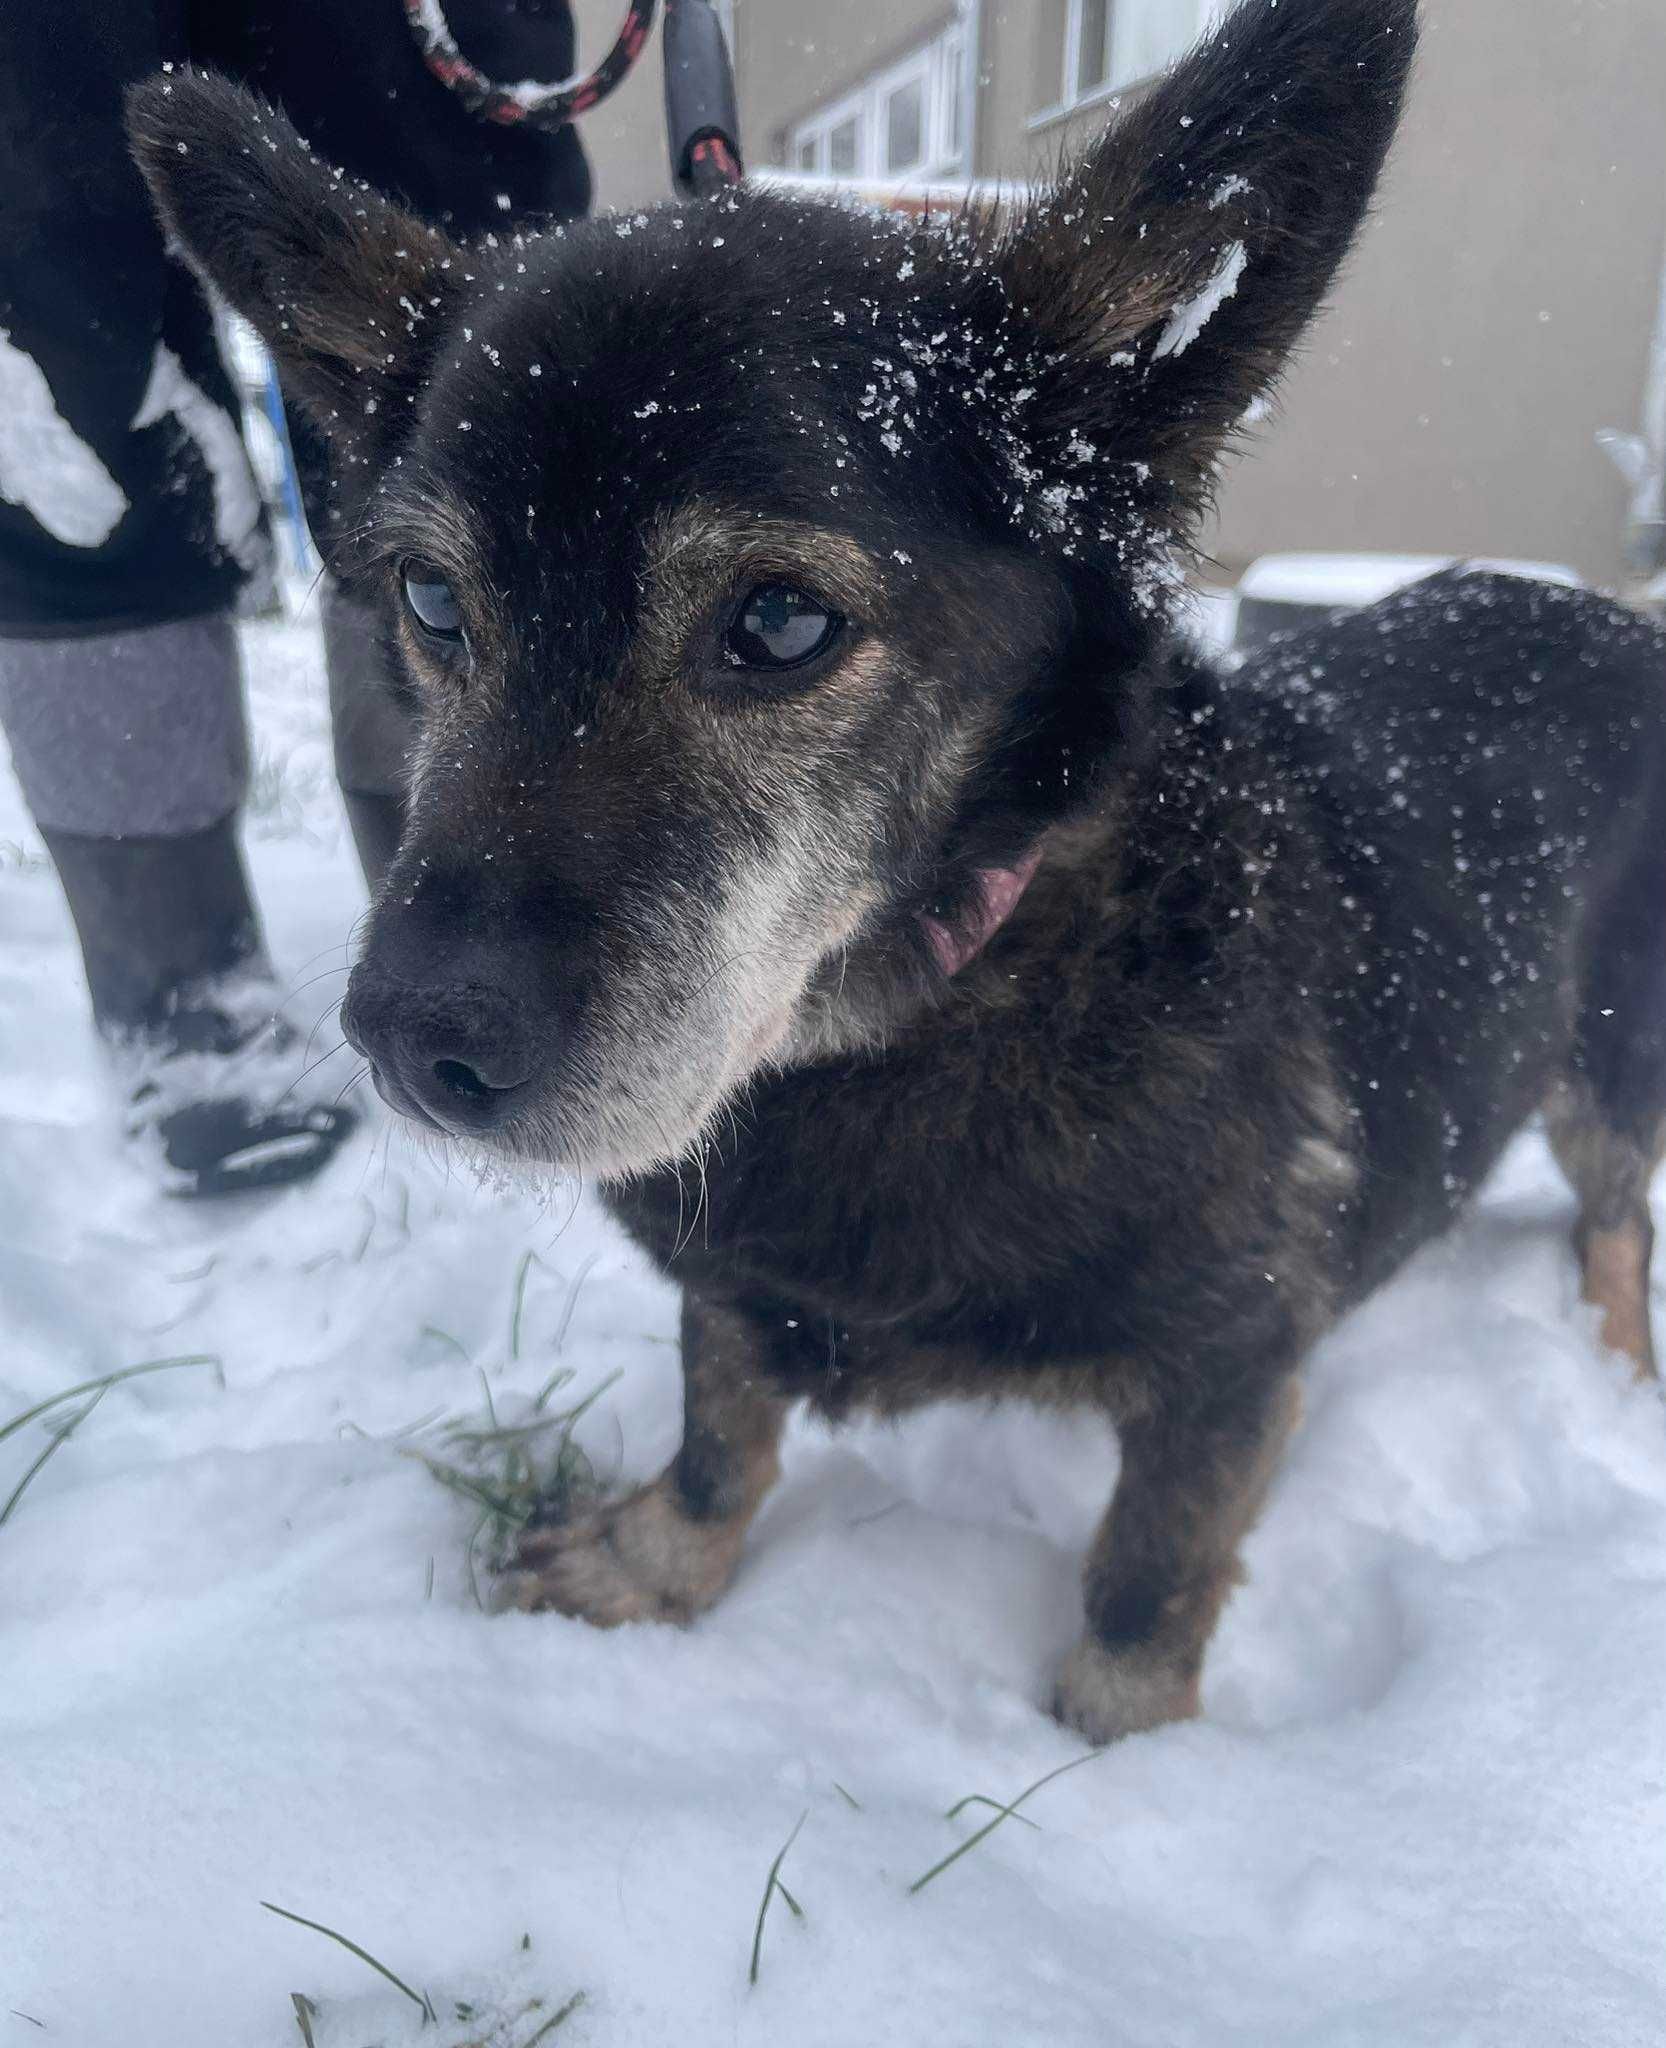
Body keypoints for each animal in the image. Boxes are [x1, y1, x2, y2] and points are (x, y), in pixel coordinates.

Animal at [130, 0, 1663, 1744]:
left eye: (784, 621)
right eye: (434, 602)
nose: (412, 1047)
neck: (924, 1002)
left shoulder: (1230, 1368)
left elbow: (1142, 1593)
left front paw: (1111, 1756)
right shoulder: (732, 1276)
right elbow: (720, 1424)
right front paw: (658, 1567)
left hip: (1610, 1059)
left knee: (1619, 1218)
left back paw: (1612, 1363)